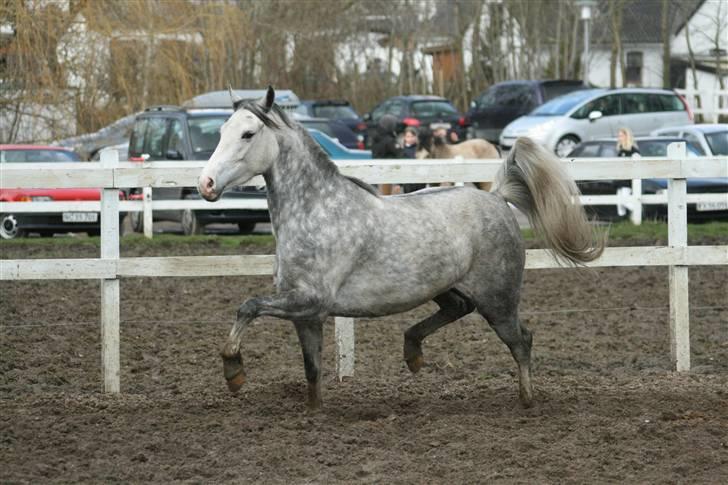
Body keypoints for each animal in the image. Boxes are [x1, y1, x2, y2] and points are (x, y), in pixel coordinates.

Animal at [199, 86, 604, 408]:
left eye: (248, 133)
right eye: (221, 131)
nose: (206, 184)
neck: (318, 213)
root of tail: (496, 197)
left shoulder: (309, 301)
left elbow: (248, 307)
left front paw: (233, 372)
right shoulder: (306, 314)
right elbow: (311, 369)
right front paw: (313, 410)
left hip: (499, 300)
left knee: (521, 340)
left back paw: (527, 399)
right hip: (448, 287)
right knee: (459, 308)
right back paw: (413, 352)